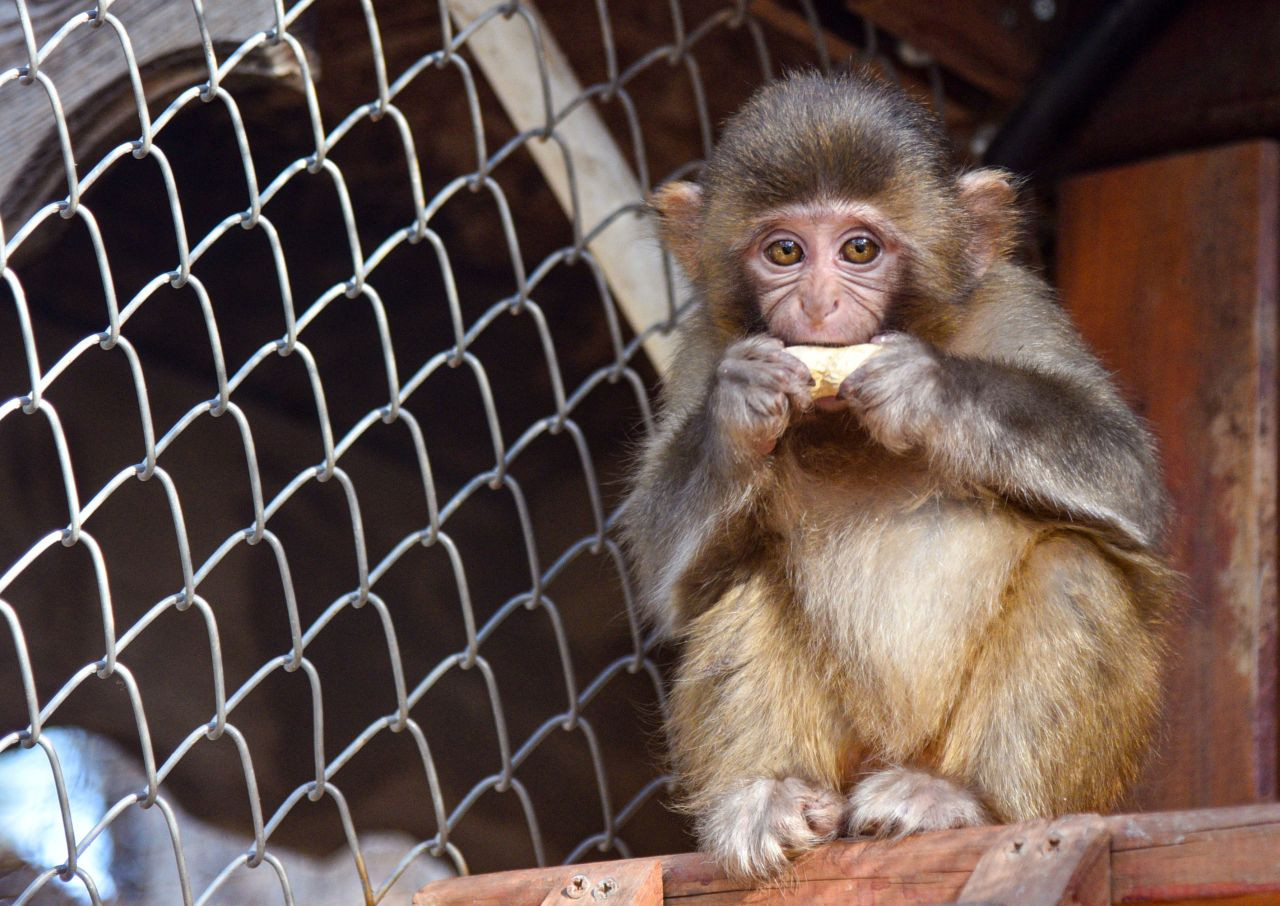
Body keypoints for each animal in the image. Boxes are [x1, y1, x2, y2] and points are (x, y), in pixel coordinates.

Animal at [624, 74, 1172, 880]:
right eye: (784, 250)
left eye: (859, 248)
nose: (818, 303)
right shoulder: (706, 344)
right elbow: (666, 569)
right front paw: (737, 414)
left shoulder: (1014, 305)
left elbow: (1126, 477)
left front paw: (928, 389)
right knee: (745, 580)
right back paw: (767, 799)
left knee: (1075, 568)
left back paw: (961, 799)